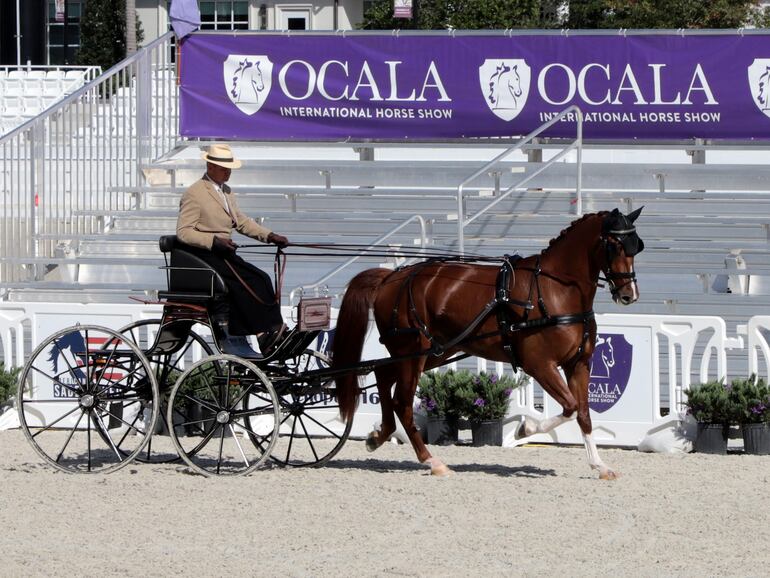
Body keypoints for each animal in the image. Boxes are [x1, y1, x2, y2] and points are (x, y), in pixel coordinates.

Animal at [332, 207, 640, 476]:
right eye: (614, 245)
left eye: (636, 246)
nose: (629, 295)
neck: (555, 289)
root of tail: (391, 277)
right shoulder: (540, 365)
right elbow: (571, 407)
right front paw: (525, 430)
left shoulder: (579, 363)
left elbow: (584, 413)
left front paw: (600, 466)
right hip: (414, 353)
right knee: (402, 403)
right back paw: (432, 461)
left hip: (433, 352)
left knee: (383, 374)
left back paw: (378, 435)